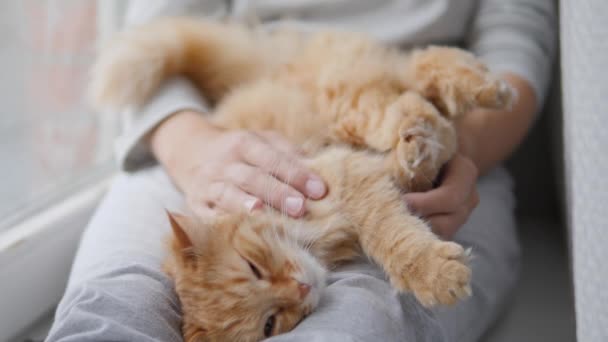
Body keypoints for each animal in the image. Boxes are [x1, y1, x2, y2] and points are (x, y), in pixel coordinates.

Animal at [90, 18, 516, 342]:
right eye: (269, 324)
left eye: (253, 267)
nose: (302, 288)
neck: (306, 236)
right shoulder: (358, 171)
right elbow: (406, 183)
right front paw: (420, 159)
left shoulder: (341, 174)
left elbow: (394, 234)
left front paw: (435, 273)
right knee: (417, 81)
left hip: (344, 97)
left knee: (415, 77)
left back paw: (482, 93)